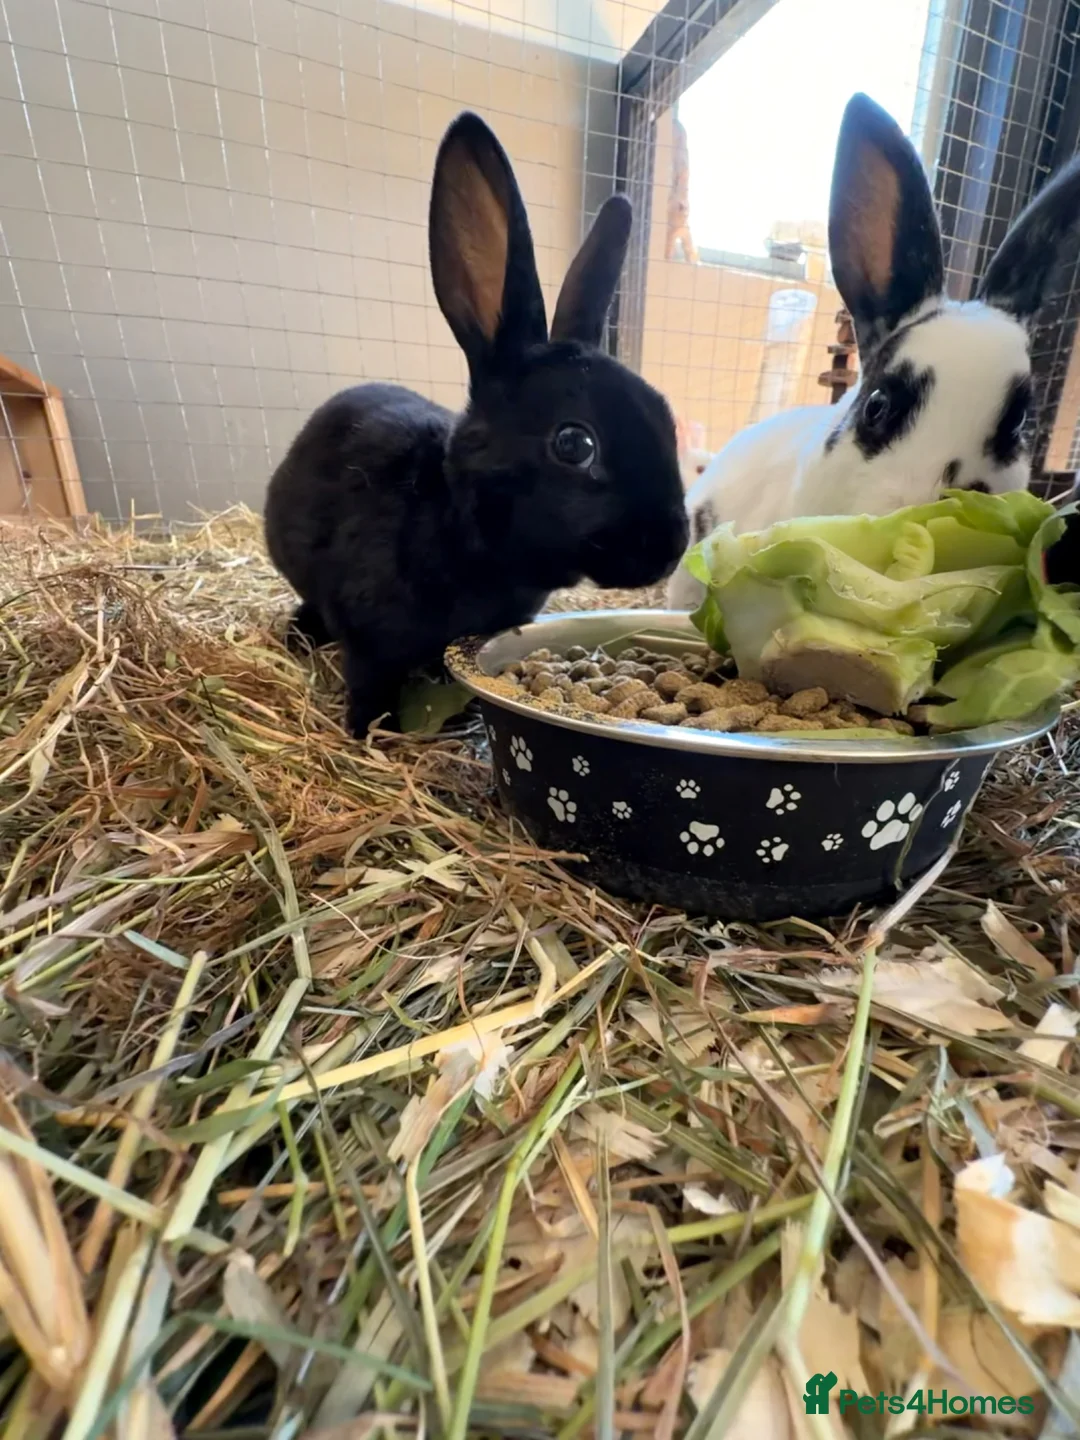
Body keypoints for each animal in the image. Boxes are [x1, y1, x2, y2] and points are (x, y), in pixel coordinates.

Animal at [265, 111, 688, 737]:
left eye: (665, 416)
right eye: (574, 443)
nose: (672, 547)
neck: (462, 525)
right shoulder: (370, 642)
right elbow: (369, 681)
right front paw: (370, 730)